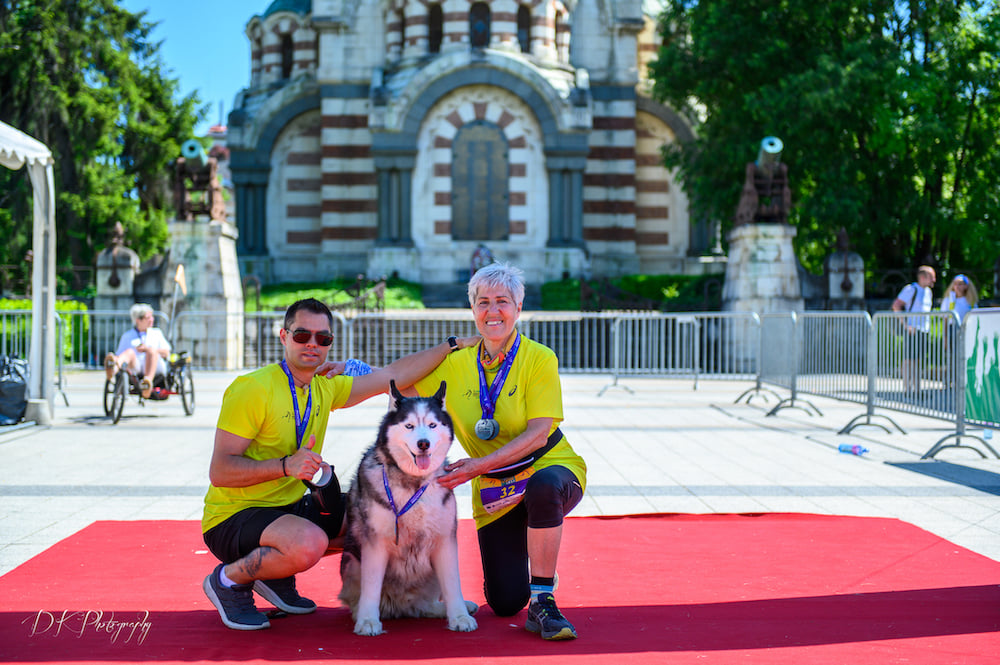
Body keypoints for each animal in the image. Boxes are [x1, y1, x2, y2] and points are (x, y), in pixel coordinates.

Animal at [342, 382, 478, 636]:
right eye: (409, 425)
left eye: (432, 425)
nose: (423, 443)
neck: (414, 482)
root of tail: (401, 604)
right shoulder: (375, 543)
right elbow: (371, 586)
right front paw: (368, 620)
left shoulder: (445, 539)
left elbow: (453, 583)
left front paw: (459, 616)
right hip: (352, 563)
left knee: (425, 604)